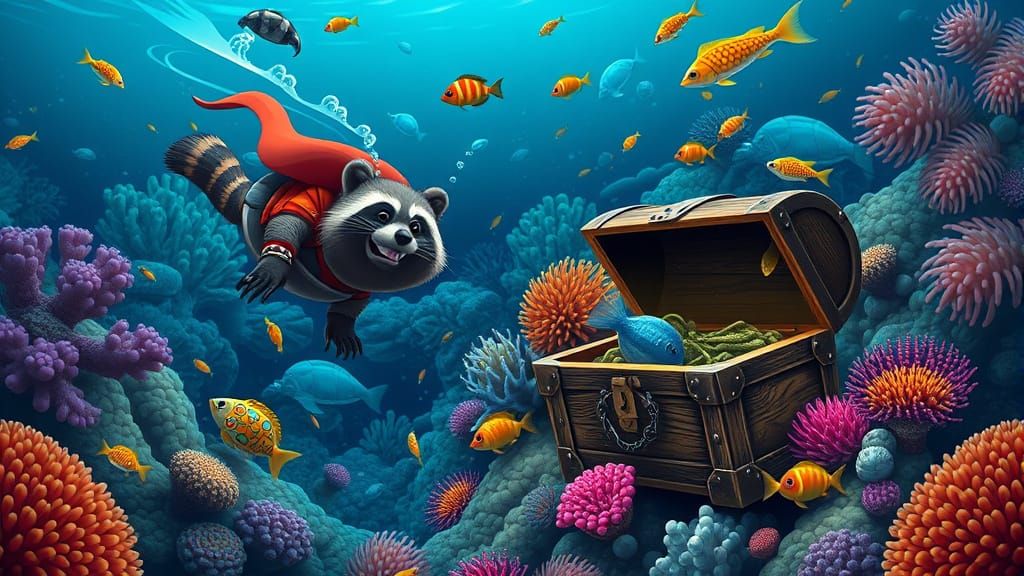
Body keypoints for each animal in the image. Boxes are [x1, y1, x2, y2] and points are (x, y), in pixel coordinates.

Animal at [164, 93, 448, 359]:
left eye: (416, 227)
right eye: (382, 215)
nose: (403, 237)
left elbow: (356, 300)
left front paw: (342, 321)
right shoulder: (317, 197)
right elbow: (289, 220)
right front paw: (274, 262)